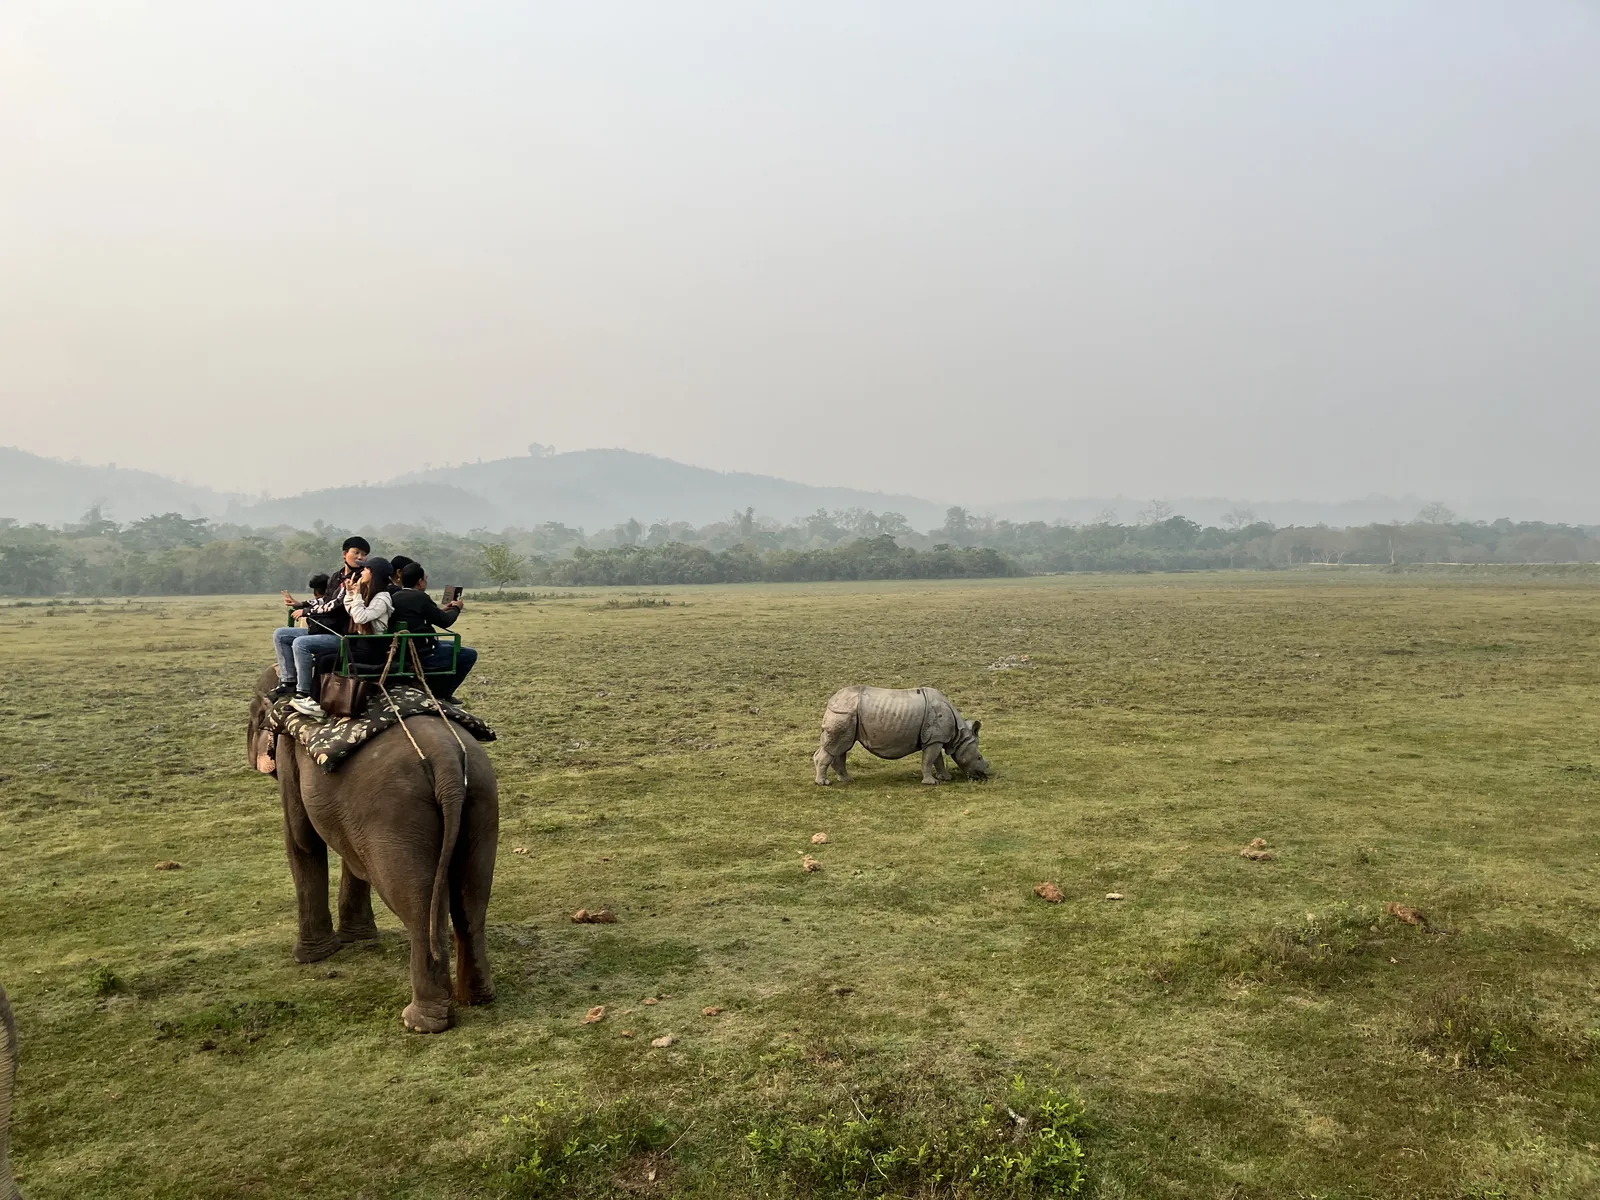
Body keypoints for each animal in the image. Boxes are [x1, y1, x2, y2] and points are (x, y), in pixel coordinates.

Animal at [248, 667, 499, 1033]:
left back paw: (420, 1022)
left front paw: (310, 957)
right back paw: (477, 998)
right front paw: (358, 938)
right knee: (472, 901)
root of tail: (447, 761)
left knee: (417, 907)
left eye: (253, 720)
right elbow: (353, 859)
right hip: (481, 798)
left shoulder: (288, 751)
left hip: (397, 816)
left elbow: (302, 840)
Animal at [814, 685, 991, 785]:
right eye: (979, 757)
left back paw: (847, 780)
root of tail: (831, 700)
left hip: (845, 713)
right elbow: (929, 760)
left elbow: (937, 760)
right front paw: (931, 783)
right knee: (837, 747)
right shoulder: (935, 739)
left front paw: (946, 778)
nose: (985, 775)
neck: (959, 735)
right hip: (843, 712)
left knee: (841, 747)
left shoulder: (935, 738)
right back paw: (824, 783)